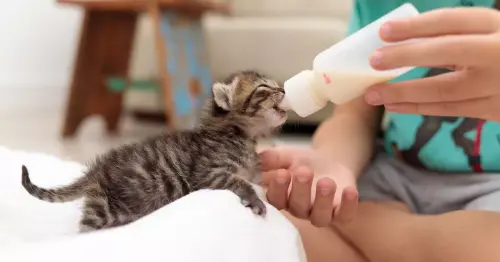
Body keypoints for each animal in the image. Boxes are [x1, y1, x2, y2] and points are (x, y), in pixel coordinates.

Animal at [21, 69, 288, 231]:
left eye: (277, 86)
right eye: (264, 88)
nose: (284, 90)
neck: (241, 136)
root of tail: (96, 170)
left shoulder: (253, 172)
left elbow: (257, 180)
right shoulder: (207, 173)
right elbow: (240, 182)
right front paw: (255, 200)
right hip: (105, 209)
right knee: (87, 226)